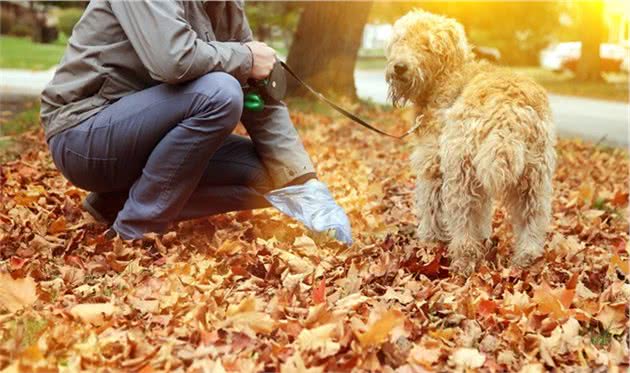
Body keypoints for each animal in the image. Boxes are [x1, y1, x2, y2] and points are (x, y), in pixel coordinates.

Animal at [386, 10, 556, 274]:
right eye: (402, 39)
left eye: (427, 44)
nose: (400, 67)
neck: (448, 77)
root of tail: (508, 107)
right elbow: (483, 213)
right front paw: (483, 237)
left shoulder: (433, 168)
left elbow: (431, 208)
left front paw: (430, 240)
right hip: (533, 178)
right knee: (532, 218)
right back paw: (526, 258)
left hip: (460, 174)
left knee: (462, 220)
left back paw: (462, 260)